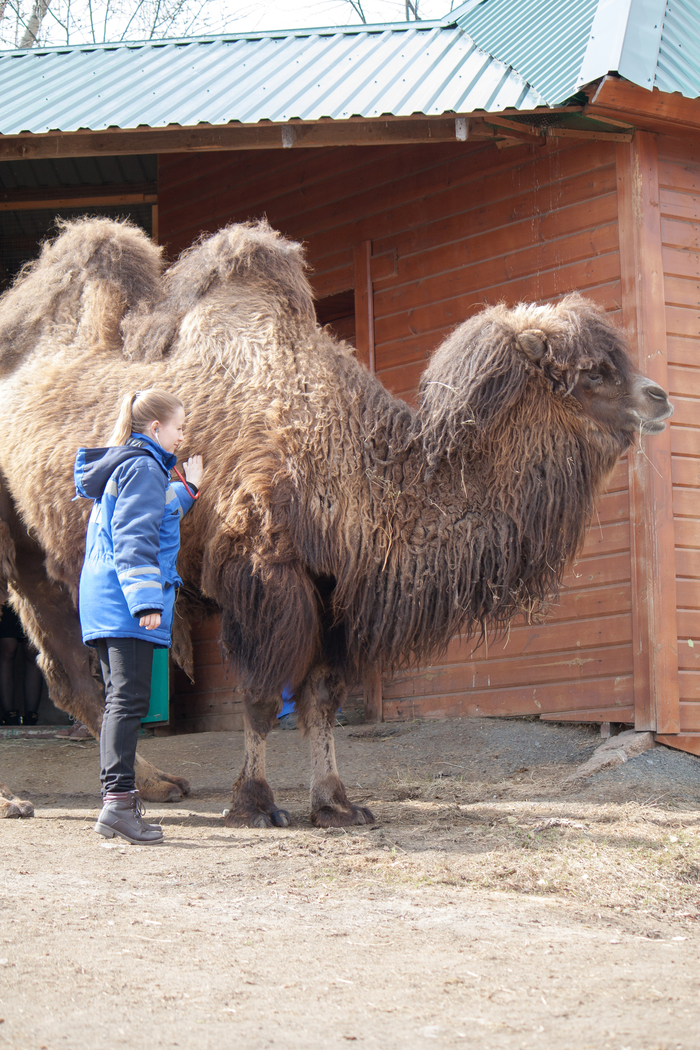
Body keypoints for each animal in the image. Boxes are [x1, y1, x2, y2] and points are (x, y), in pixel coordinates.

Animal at [0, 221, 671, 823]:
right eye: (593, 372)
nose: (660, 397)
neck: (346, 450)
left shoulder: (331, 591)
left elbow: (320, 699)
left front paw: (337, 804)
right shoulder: (265, 571)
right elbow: (262, 694)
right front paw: (255, 803)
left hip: (37, 558)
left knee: (73, 674)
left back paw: (158, 785)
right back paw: (26, 802)